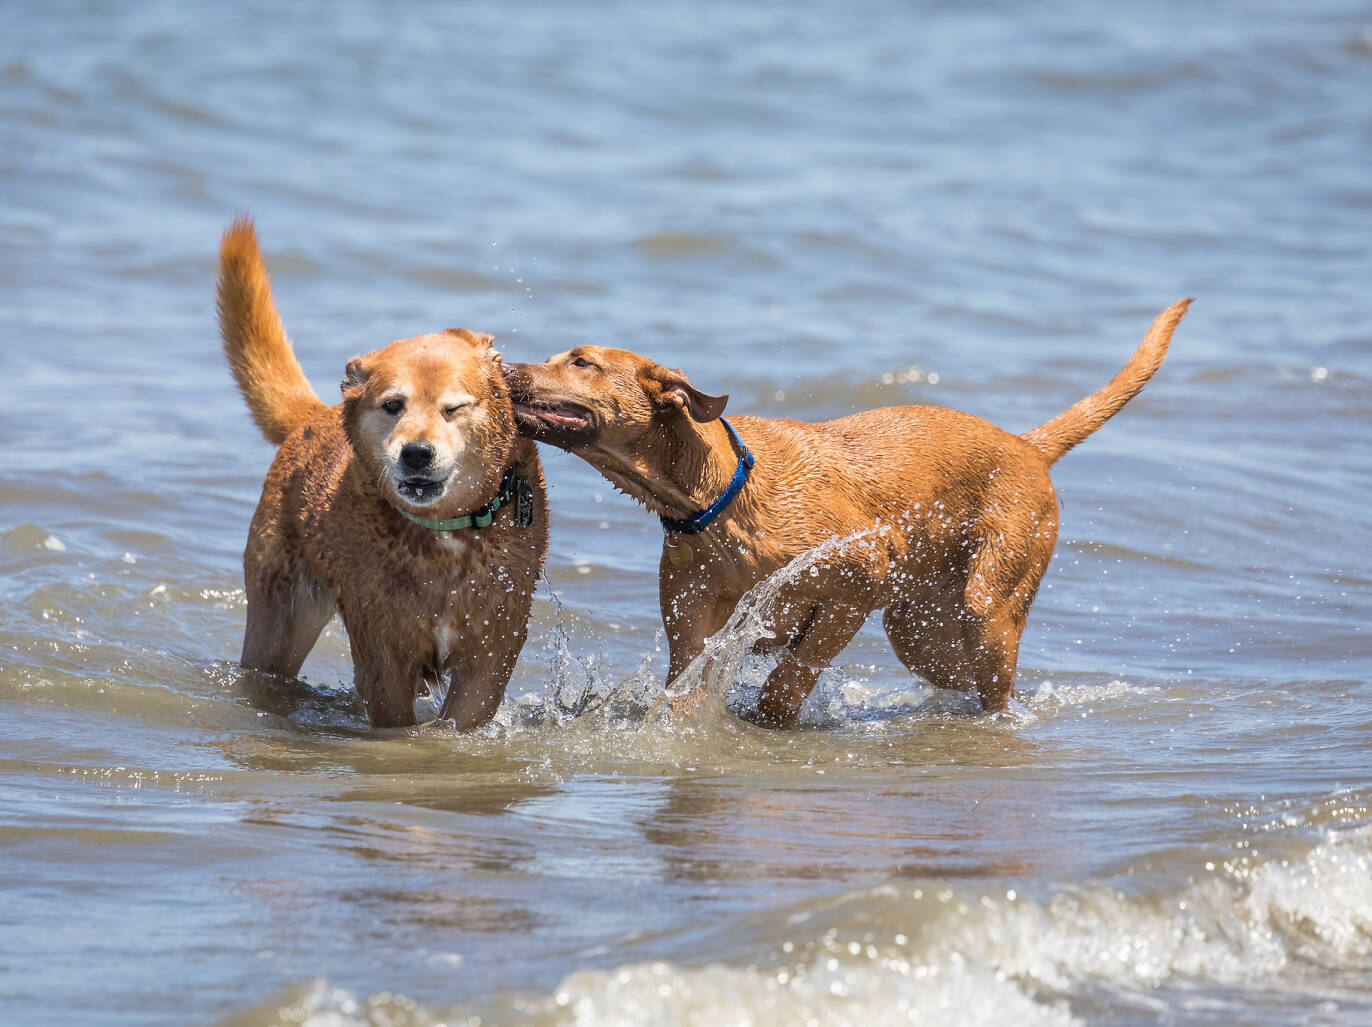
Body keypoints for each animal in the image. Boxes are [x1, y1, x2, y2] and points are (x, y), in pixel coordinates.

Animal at [214, 218, 546, 729]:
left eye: (453, 408)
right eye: (393, 405)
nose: (416, 453)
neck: (445, 536)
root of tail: (316, 415)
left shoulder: (492, 646)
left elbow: (464, 714)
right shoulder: (383, 650)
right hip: (279, 615)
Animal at [504, 300, 1190, 723]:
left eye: (582, 362)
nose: (504, 368)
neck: (717, 503)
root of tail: (1027, 446)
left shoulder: (858, 581)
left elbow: (795, 671)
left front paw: (773, 716)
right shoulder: (693, 629)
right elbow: (682, 695)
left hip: (988, 608)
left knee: (996, 680)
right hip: (920, 633)